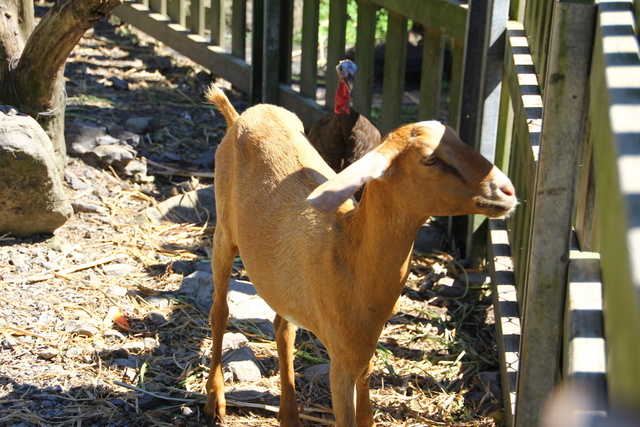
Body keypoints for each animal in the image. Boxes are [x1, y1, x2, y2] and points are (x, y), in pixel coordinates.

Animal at [204, 83, 516, 424]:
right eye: (429, 159)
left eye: (459, 139)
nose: (507, 190)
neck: (348, 253)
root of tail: (242, 115)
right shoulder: (341, 363)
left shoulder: (362, 351)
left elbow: (366, 416)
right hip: (224, 231)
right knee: (219, 311)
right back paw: (215, 401)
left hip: (281, 285)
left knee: (282, 327)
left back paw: (289, 413)